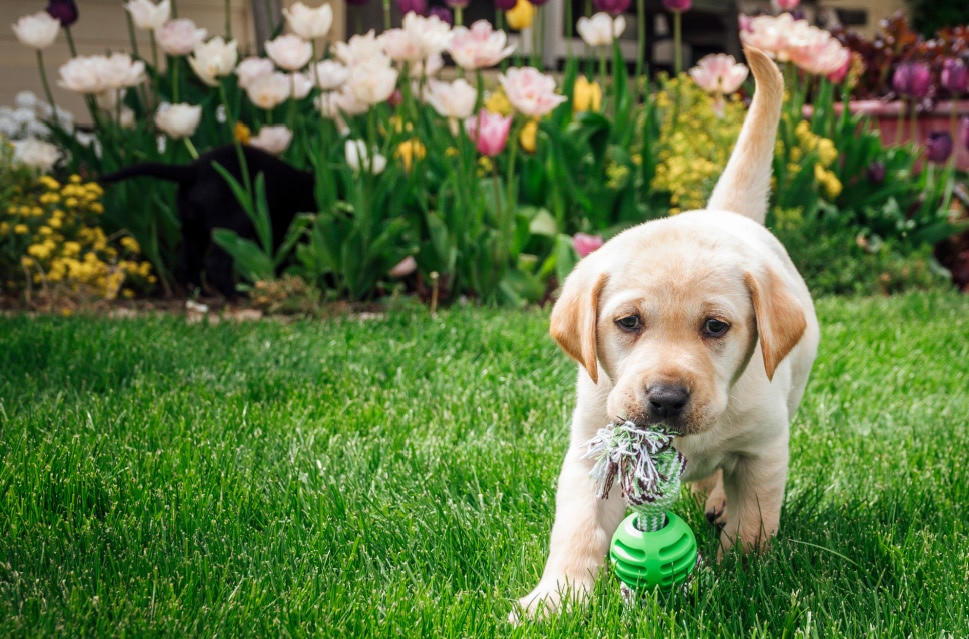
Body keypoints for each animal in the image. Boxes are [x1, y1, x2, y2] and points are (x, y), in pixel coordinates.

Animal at [97, 145, 314, 298]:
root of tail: (194, 169)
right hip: (232, 225)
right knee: (215, 264)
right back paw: (238, 294)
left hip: (193, 229)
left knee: (187, 262)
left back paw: (199, 292)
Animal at [510, 48, 820, 620]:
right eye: (628, 322)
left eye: (715, 326)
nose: (666, 398)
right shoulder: (593, 451)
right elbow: (578, 530)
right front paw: (555, 599)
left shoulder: (764, 449)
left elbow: (753, 520)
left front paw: (739, 577)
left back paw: (716, 501)